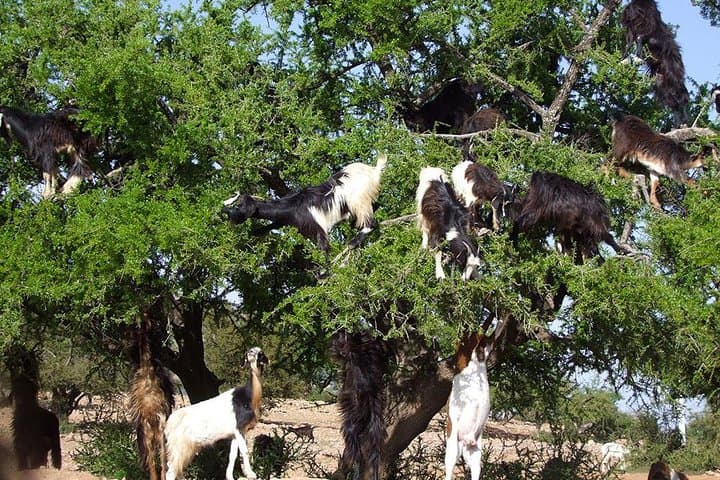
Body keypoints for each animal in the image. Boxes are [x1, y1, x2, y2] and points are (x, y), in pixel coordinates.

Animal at [164, 347, 268, 480]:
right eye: (250, 352)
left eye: (260, 353)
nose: (251, 354)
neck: (249, 397)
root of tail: (169, 424)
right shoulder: (239, 428)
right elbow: (244, 451)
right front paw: (251, 474)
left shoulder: (235, 433)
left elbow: (232, 456)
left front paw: (230, 476)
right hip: (179, 447)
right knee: (171, 471)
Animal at [222, 154, 386, 265]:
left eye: (239, 206)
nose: (227, 213)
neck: (292, 207)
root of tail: (373, 171)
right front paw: (254, 233)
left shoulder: (317, 228)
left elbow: (324, 248)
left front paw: (324, 276)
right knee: (375, 207)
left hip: (359, 201)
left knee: (371, 223)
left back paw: (353, 242)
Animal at [332, 330, 390, 480]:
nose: (340, 332)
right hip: (376, 426)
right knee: (375, 452)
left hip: (352, 423)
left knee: (356, 450)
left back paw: (356, 472)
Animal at [444, 332, 492, 480]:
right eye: (483, 341)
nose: (491, 339)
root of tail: (467, 442)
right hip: (453, 451)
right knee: (449, 471)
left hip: (474, 456)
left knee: (475, 471)